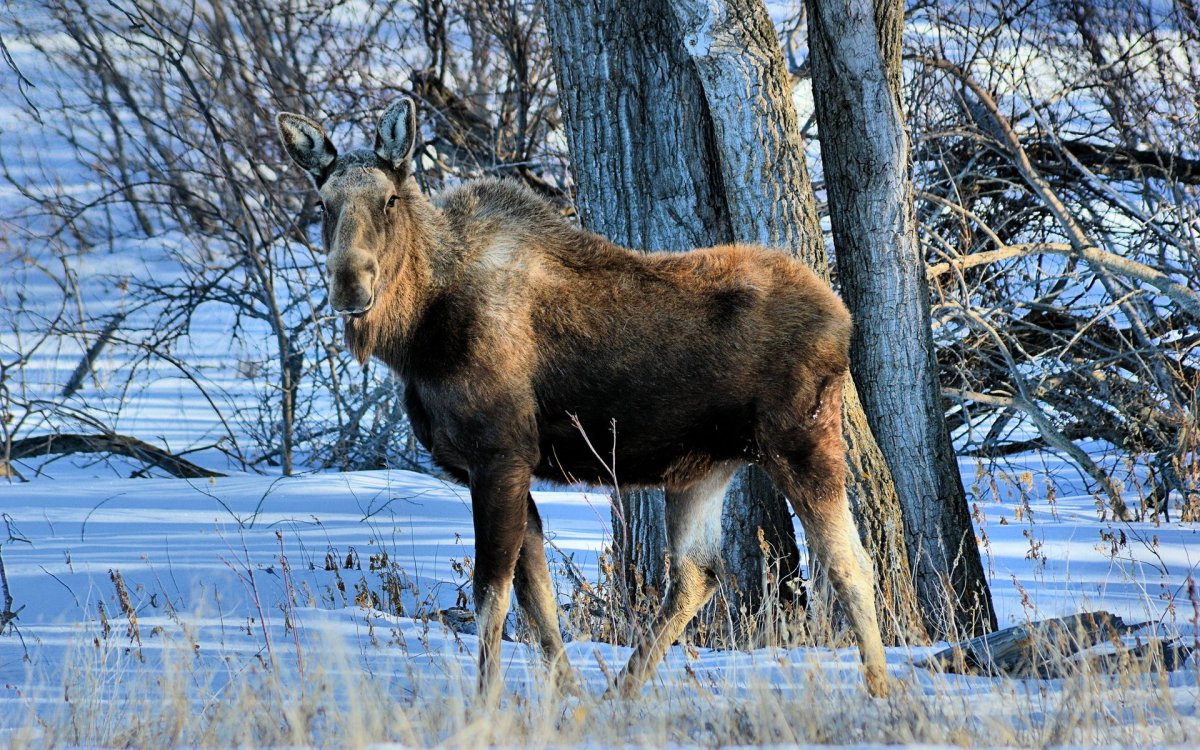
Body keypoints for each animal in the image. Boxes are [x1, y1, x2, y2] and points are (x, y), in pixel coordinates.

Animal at [276, 98, 889, 700]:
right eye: (323, 203)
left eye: (389, 199)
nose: (349, 285)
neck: (417, 336)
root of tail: (843, 319)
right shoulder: (502, 466)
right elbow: (537, 599)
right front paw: (569, 698)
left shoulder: (501, 454)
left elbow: (492, 596)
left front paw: (485, 705)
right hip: (705, 468)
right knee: (698, 574)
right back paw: (620, 693)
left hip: (802, 439)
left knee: (850, 563)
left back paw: (882, 689)